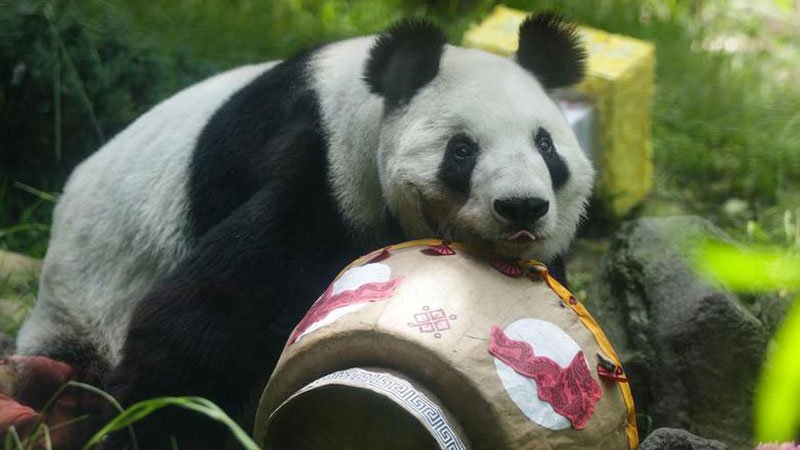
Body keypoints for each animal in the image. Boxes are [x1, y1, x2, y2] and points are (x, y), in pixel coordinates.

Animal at [15, 13, 593, 449]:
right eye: (462, 151)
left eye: (545, 145)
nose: (521, 207)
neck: (372, 102)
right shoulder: (325, 167)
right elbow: (205, 313)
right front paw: (137, 424)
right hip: (82, 310)